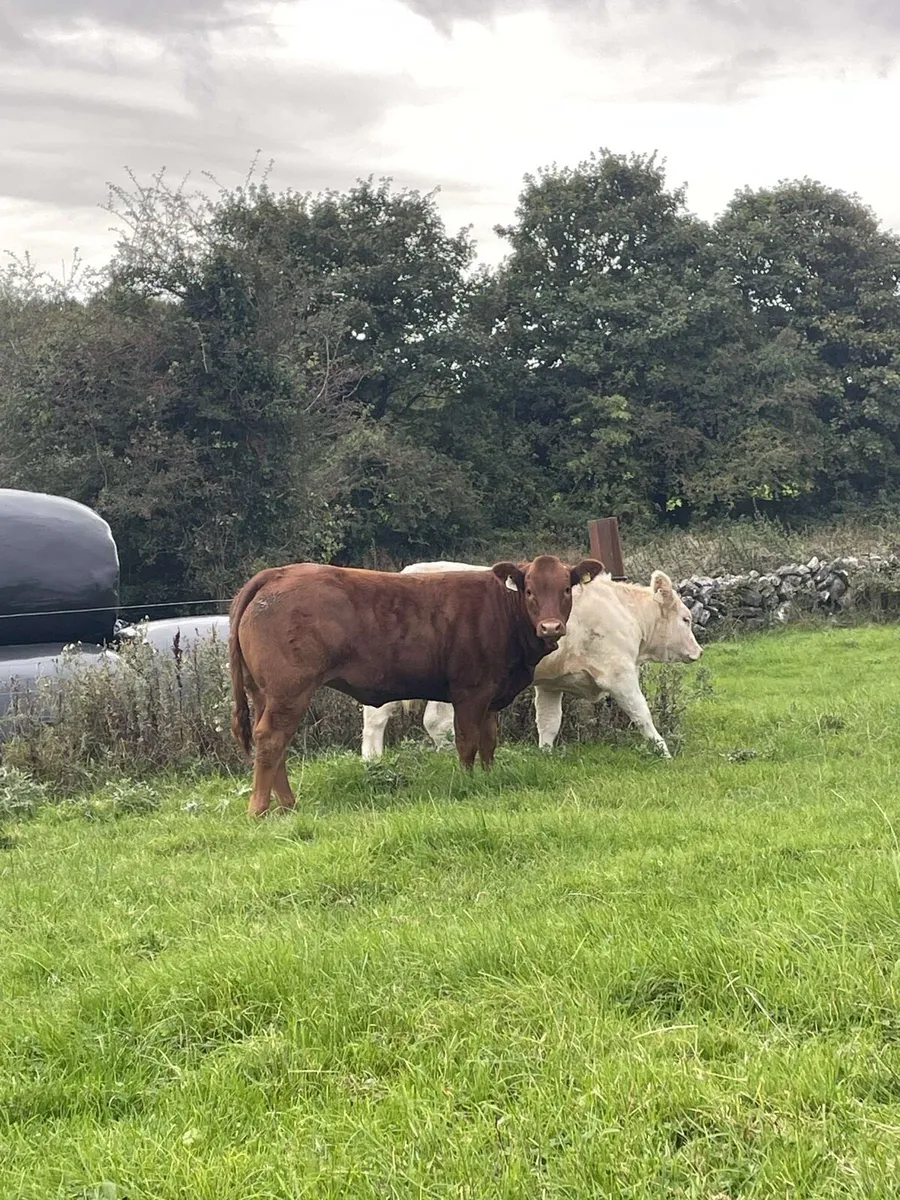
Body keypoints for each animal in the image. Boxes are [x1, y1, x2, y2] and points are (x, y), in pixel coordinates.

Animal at [229, 555, 604, 815]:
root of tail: (279, 573)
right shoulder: (470, 692)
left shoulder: (492, 694)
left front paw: (487, 777)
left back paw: (287, 805)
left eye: (566, 589)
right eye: (529, 591)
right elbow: (467, 741)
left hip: (264, 692)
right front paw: (466, 783)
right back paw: (260, 809)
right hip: (290, 690)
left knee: (273, 740)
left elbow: (488, 742)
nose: (551, 627)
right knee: (271, 739)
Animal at [360, 561, 702, 760]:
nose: (698, 652)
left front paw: (545, 755)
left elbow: (548, 722)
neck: (622, 610)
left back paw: (371, 761)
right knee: (434, 722)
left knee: (377, 716)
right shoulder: (619, 673)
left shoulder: (551, 684)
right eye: (686, 619)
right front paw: (662, 751)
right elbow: (641, 713)